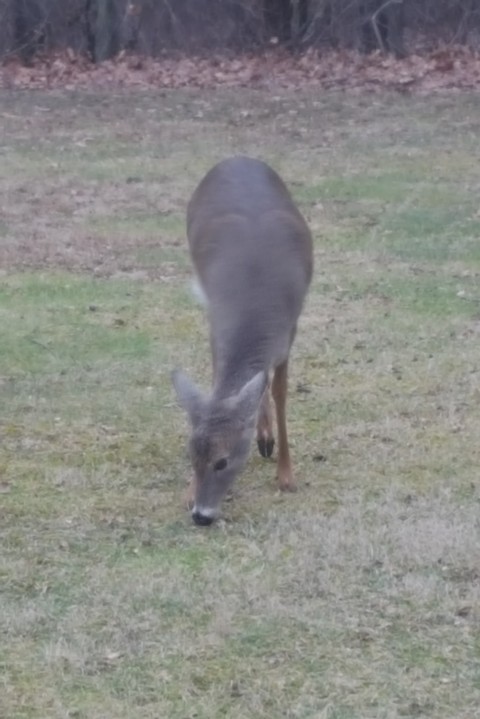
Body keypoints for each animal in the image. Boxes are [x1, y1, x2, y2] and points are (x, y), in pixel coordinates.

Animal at [172, 156, 313, 526]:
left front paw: (286, 475)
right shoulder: (215, 323)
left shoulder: (288, 333)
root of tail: (238, 158)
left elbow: (279, 392)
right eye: (191, 455)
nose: (201, 515)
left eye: (223, 461)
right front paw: (187, 492)